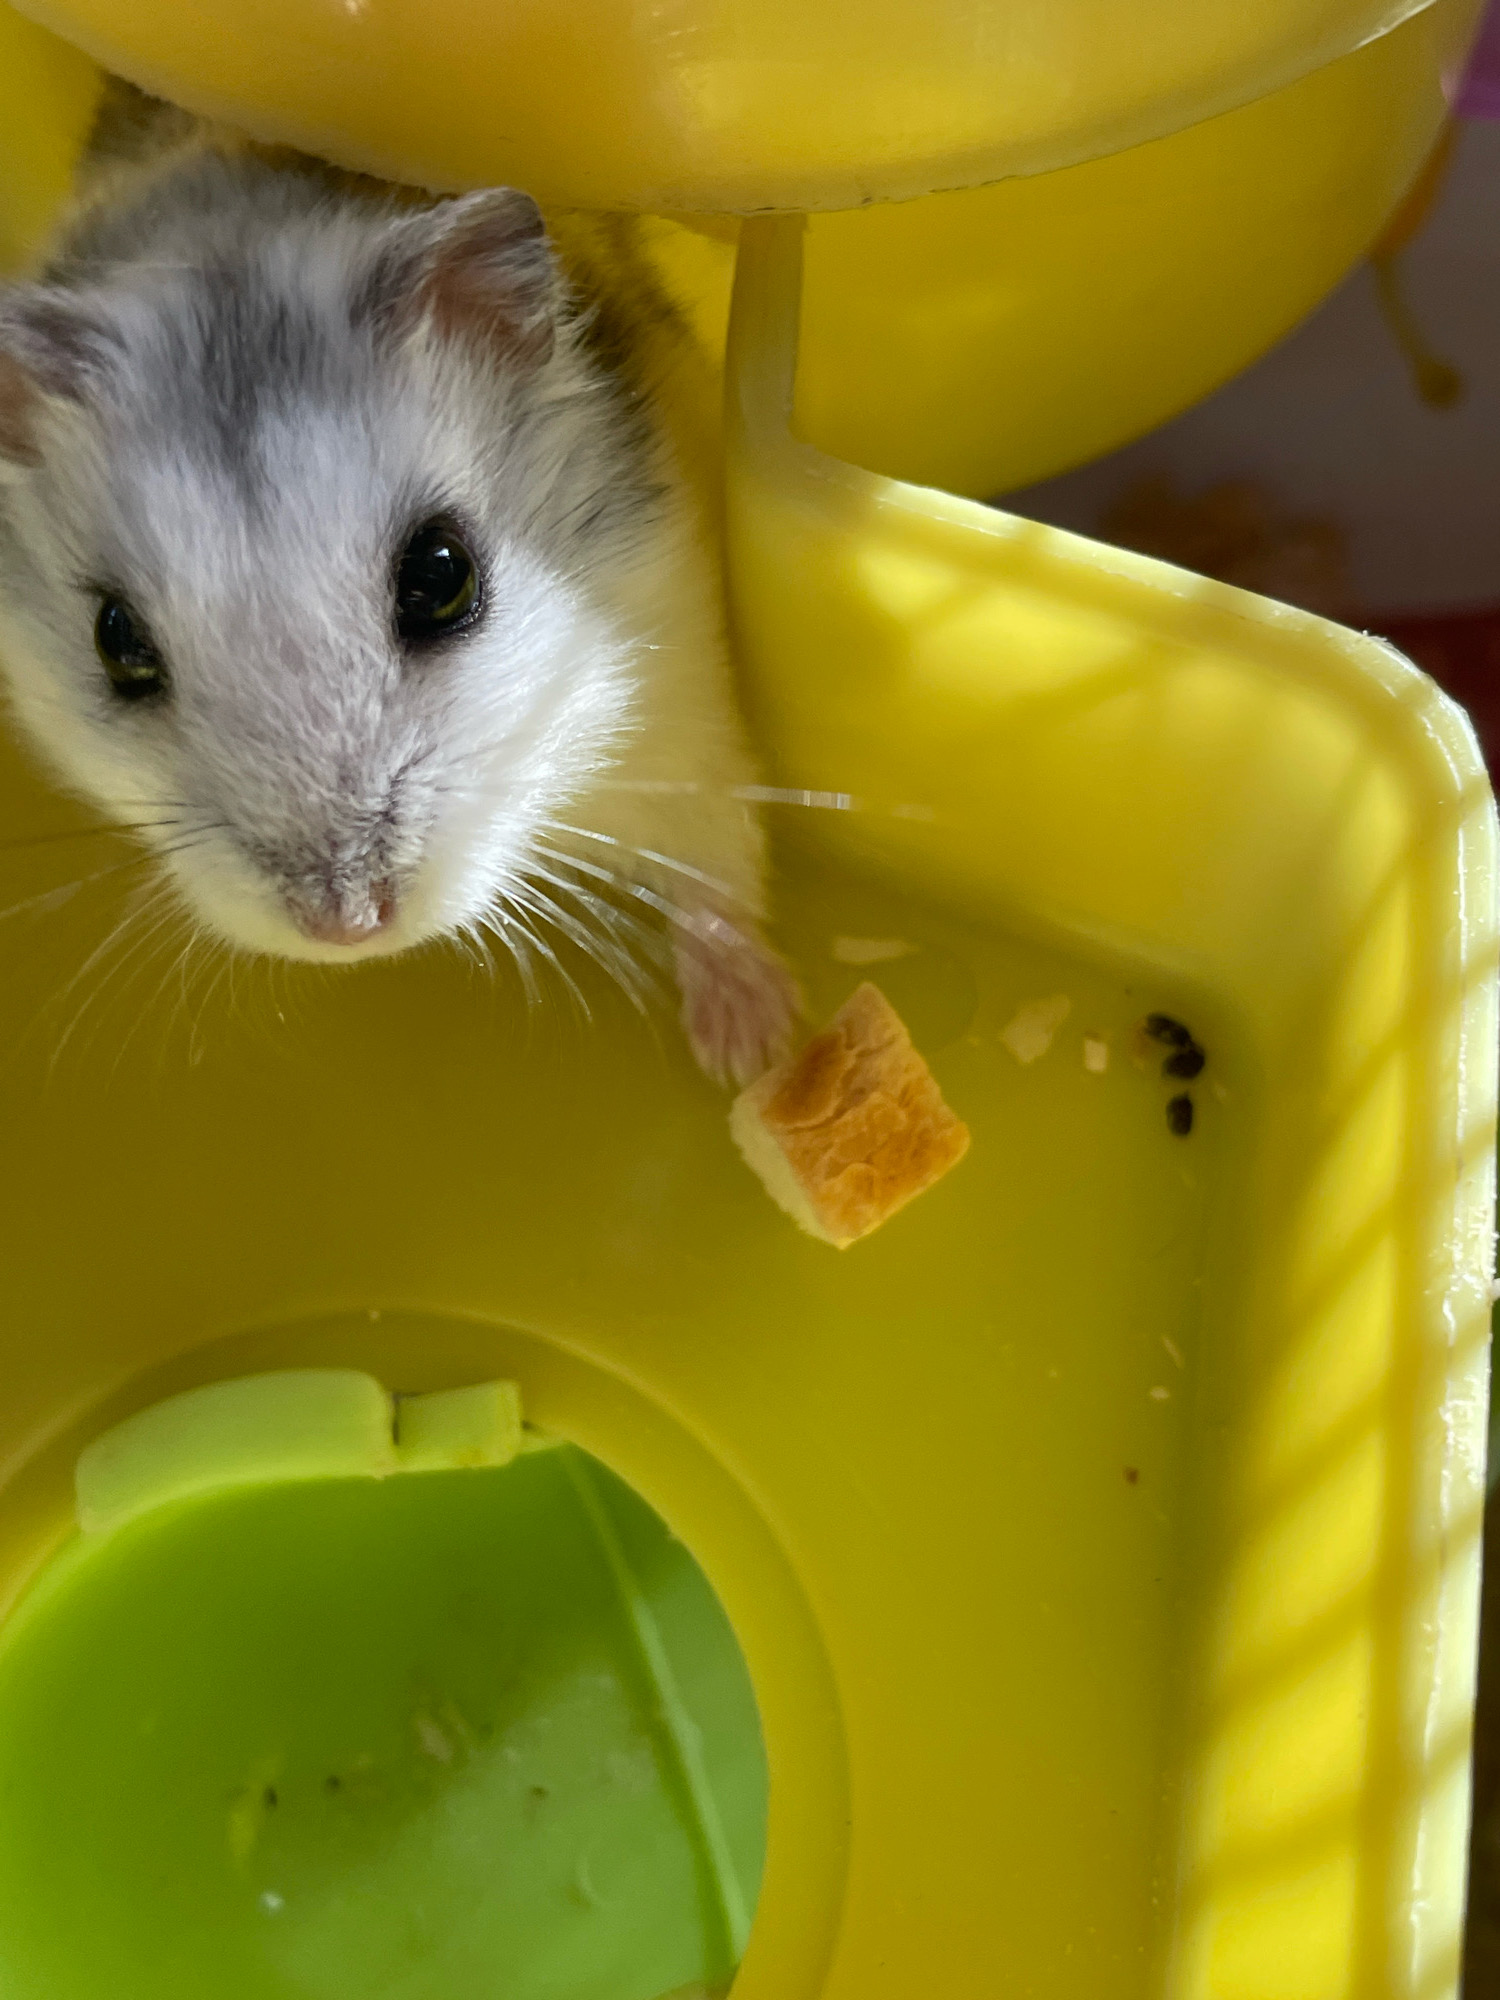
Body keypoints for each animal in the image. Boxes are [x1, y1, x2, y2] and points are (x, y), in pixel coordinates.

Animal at [0, 82, 798, 1085]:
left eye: (441, 576)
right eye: (116, 642)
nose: (347, 928)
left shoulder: (679, 692)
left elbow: (717, 856)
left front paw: (758, 1052)